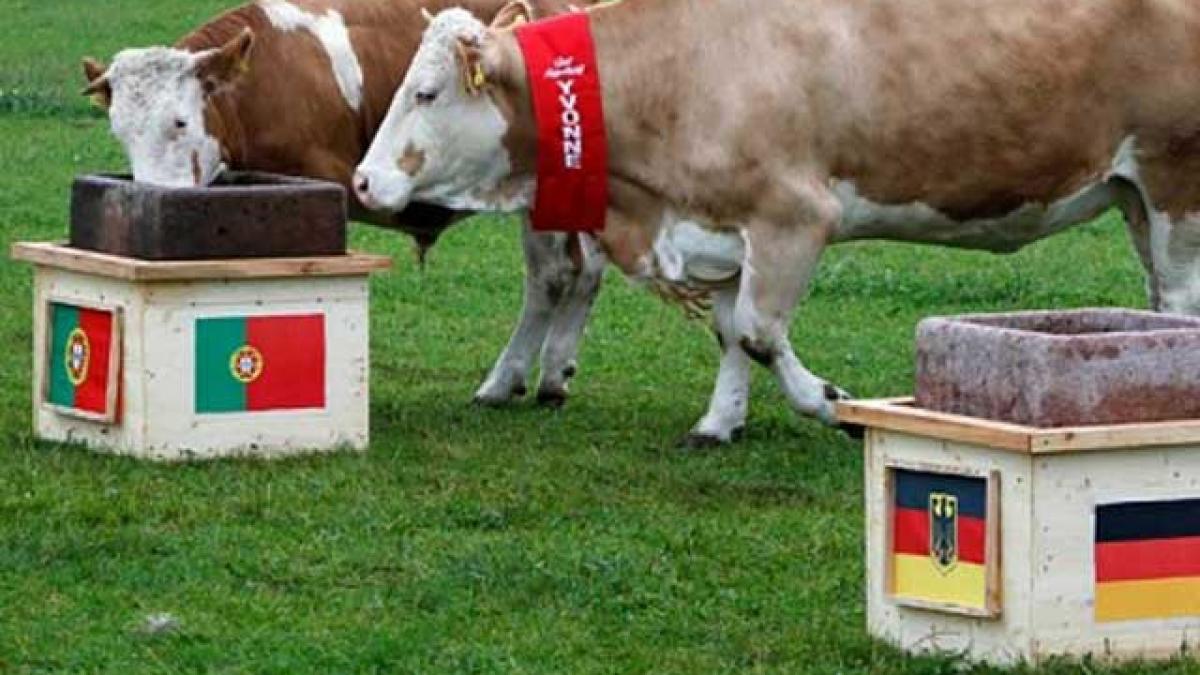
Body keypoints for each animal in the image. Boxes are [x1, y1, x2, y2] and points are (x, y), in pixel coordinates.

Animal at [79, 0, 605, 408]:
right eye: (119, 131)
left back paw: (503, 380)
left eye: (181, 121)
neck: (263, 83)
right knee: (586, 268)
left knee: (553, 274)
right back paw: (554, 373)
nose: (154, 194)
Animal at [353, 0, 1200, 444]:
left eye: (426, 92)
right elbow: (733, 332)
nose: (362, 178)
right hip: (1134, 194)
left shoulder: (794, 215)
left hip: (1174, 184)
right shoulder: (723, 228)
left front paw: (830, 402)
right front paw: (719, 421)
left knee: (1179, 304)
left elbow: (762, 332)